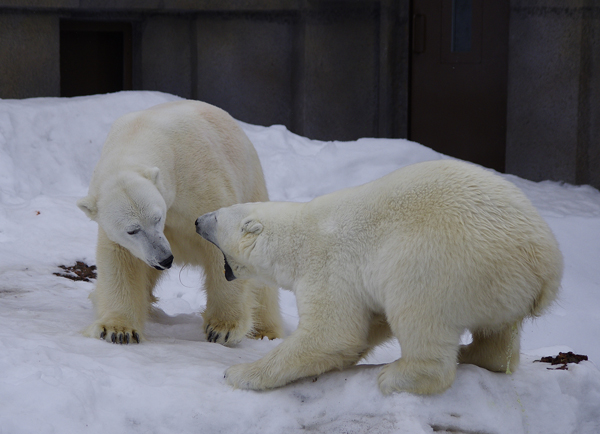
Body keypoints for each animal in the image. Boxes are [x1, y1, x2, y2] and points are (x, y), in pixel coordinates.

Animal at [78, 100, 284, 344]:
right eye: (132, 230)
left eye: (157, 218)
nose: (165, 259)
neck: (139, 134)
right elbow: (121, 260)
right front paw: (118, 330)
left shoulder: (199, 179)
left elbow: (221, 241)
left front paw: (223, 328)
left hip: (252, 183)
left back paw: (265, 330)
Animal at [197, 159, 564, 394]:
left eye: (217, 217)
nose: (198, 220)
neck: (299, 237)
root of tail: (547, 266)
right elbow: (364, 327)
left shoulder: (328, 267)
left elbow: (333, 332)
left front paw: (239, 373)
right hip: (504, 286)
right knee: (499, 333)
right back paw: (476, 355)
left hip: (445, 259)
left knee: (418, 311)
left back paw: (399, 376)